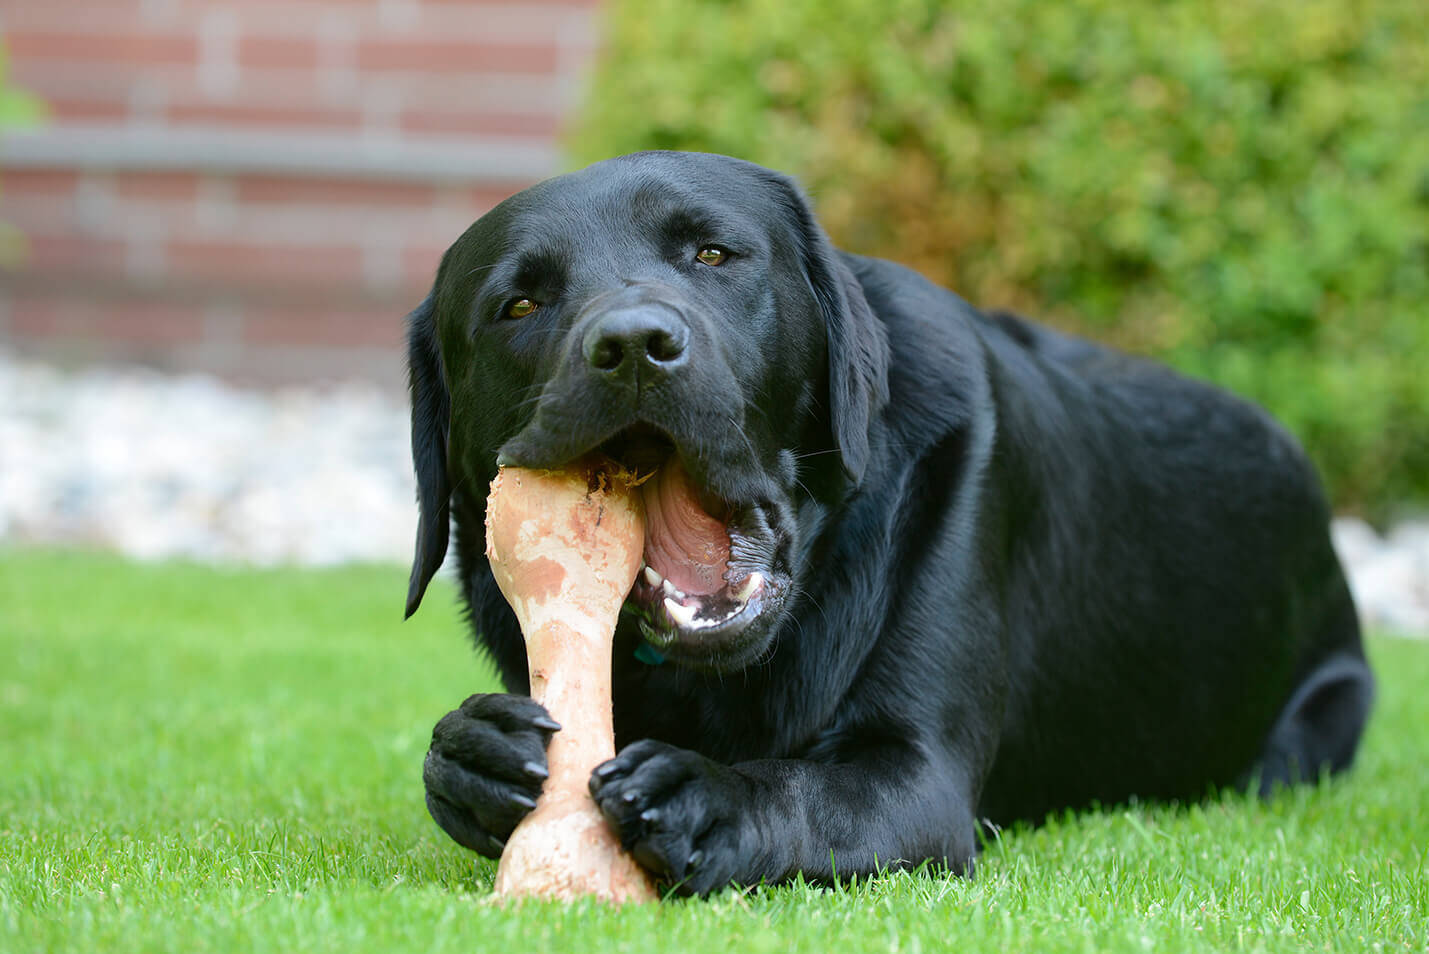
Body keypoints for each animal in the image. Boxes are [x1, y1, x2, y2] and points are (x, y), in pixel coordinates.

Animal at [405, 149, 1371, 896]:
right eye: (519, 305)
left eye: (713, 253)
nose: (633, 345)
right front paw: (475, 752)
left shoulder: (918, 778)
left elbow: (799, 789)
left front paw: (706, 796)